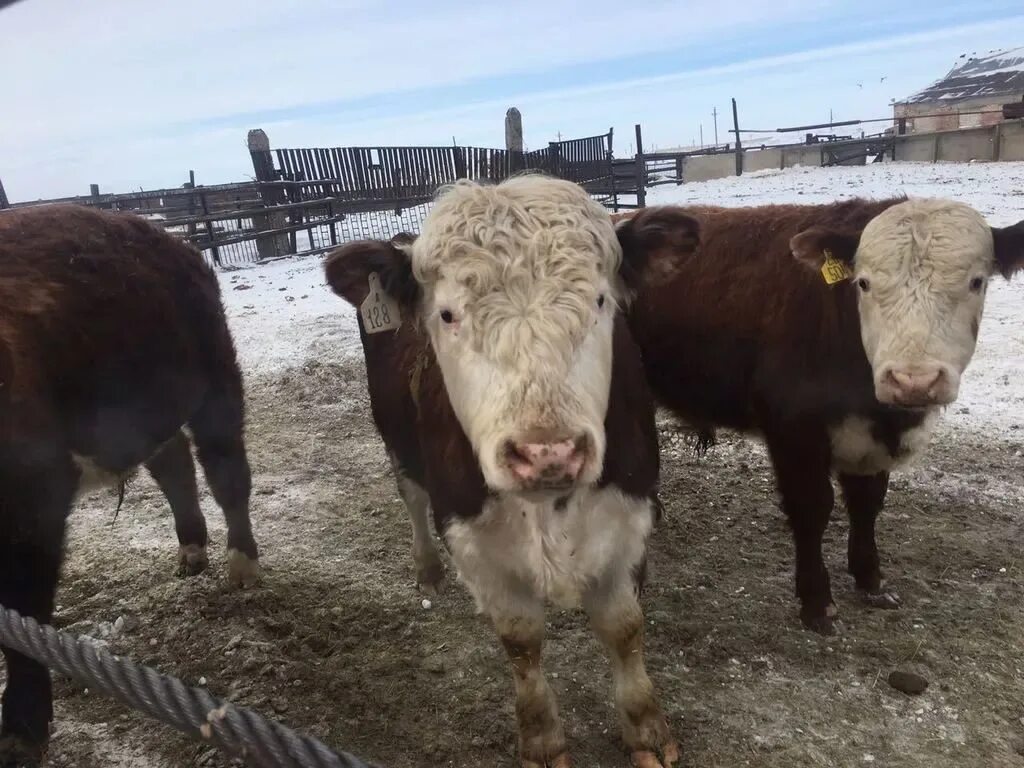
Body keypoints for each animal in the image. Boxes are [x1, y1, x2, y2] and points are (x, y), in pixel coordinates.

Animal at [0, 201, 260, 765]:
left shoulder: (34, 495)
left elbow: (22, 619)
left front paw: (21, 731)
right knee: (174, 461)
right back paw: (191, 550)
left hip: (215, 377)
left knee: (226, 469)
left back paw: (242, 564)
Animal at [323, 177, 700, 768]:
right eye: (447, 314)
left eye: (600, 300)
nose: (549, 452)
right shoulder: (473, 541)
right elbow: (521, 641)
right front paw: (542, 740)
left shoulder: (629, 517)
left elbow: (623, 628)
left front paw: (646, 729)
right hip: (394, 438)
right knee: (410, 496)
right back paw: (426, 567)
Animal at [610, 198, 1024, 638]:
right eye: (863, 283)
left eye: (976, 282)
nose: (914, 380)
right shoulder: (794, 431)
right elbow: (813, 509)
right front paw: (817, 602)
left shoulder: (870, 439)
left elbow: (866, 504)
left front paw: (871, 581)